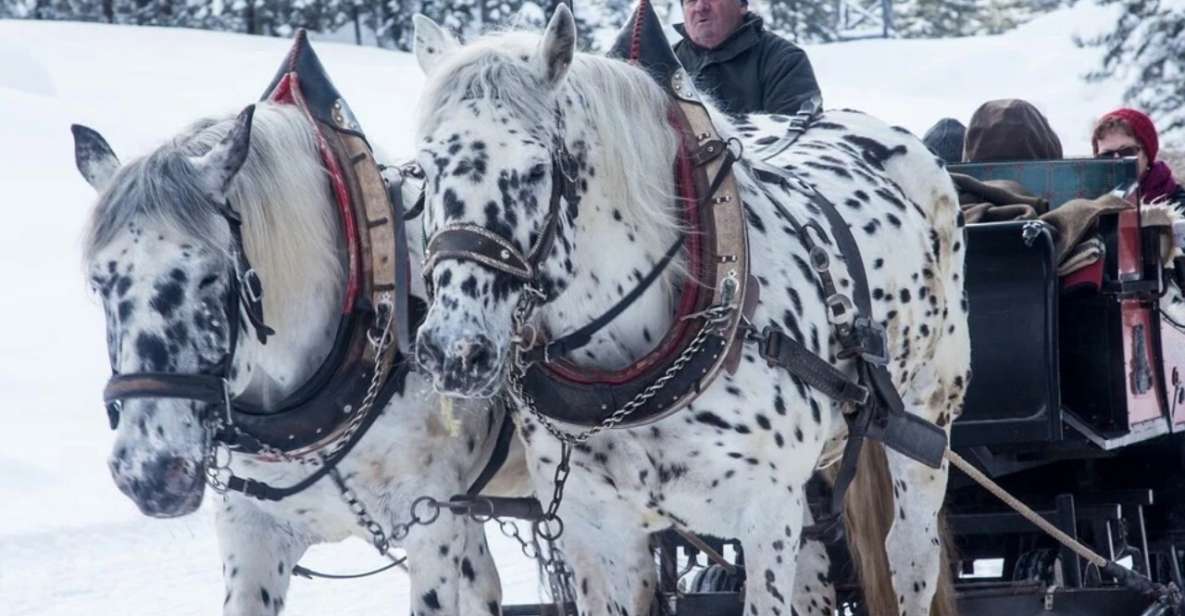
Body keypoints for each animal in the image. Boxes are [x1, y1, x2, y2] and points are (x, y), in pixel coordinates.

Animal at [412, 4, 966, 616]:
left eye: (536, 170)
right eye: (423, 170)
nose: (453, 351)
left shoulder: (765, 511)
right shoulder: (597, 530)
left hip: (926, 416)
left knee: (910, 555)